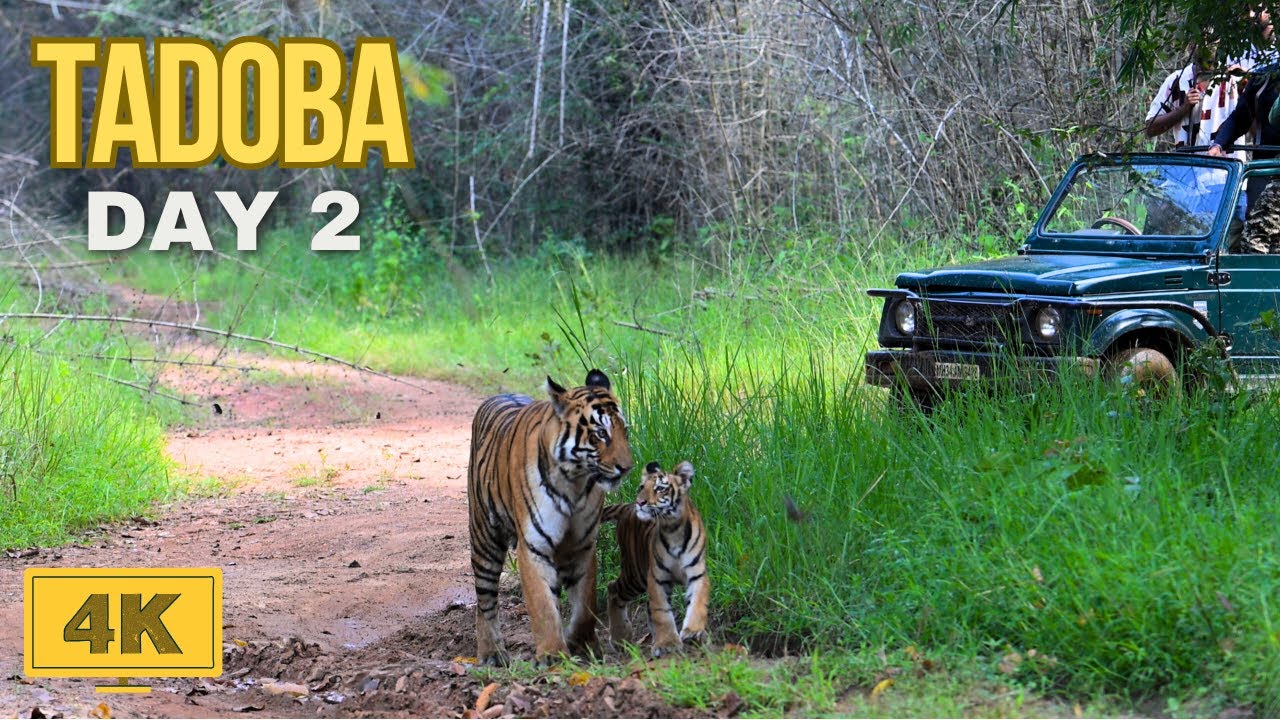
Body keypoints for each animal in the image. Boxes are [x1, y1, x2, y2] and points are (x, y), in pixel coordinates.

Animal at [467, 369, 634, 666]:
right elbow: (543, 606)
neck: (574, 483)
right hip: (485, 540)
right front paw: (553, 655)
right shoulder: (534, 547)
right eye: (601, 433)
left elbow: (584, 606)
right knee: (484, 600)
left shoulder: (582, 546)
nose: (626, 468)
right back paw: (491, 654)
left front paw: (581, 645)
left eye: (624, 431)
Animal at [602, 460, 709, 657]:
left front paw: (693, 632)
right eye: (641, 487)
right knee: (613, 588)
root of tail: (627, 508)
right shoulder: (657, 578)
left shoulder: (697, 574)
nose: (640, 502)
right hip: (634, 574)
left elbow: (697, 602)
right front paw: (667, 643)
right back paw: (620, 637)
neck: (672, 528)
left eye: (660, 488)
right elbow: (662, 611)